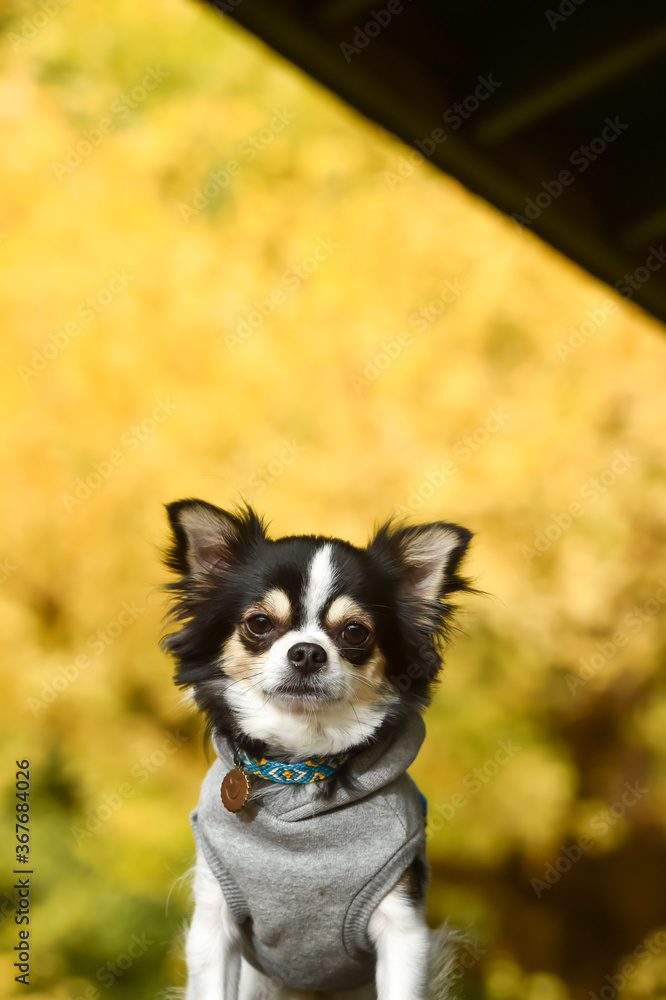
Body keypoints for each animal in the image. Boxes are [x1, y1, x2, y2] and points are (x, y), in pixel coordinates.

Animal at [162, 498, 472, 1000]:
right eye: (259, 623)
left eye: (355, 632)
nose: (307, 651)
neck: (300, 765)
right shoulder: (215, 920)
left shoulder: (403, 929)